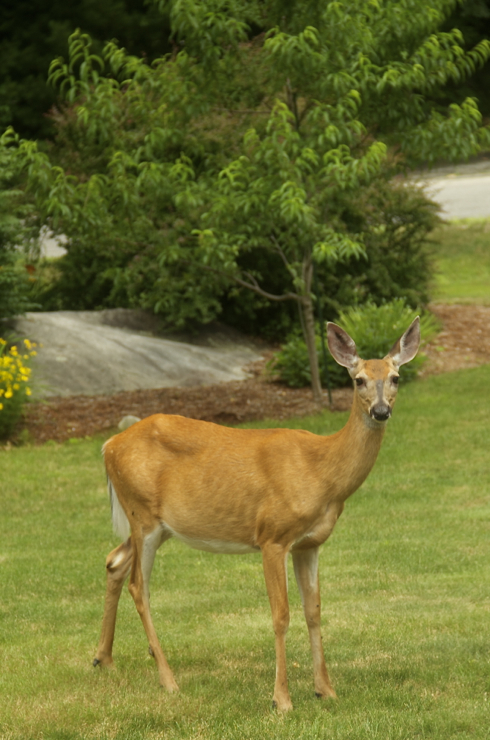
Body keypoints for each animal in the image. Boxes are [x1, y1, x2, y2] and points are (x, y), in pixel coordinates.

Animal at [93, 316, 422, 712]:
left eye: (396, 377)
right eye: (358, 379)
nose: (380, 411)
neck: (322, 473)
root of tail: (108, 445)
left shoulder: (309, 543)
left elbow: (314, 611)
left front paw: (326, 690)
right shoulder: (272, 536)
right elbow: (281, 615)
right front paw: (282, 699)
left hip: (153, 523)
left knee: (114, 560)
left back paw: (103, 659)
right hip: (143, 516)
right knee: (139, 586)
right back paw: (168, 680)